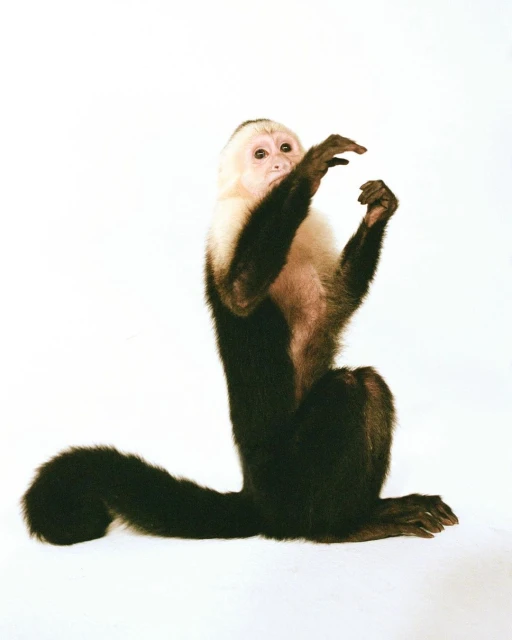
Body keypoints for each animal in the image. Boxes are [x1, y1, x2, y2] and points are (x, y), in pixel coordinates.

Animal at [22, 119, 458, 546]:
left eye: (284, 147)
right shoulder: (227, 221)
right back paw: (338, 528)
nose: (281, 164)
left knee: (369, 384)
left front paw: (379, 208)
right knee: (352, 388)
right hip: (287, 484)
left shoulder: (314, 228)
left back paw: (373, 510)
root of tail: (255, 497)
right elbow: (241, 294)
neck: (258, 202)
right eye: (261, 154)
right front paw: (308, 171)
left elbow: (336, 304)